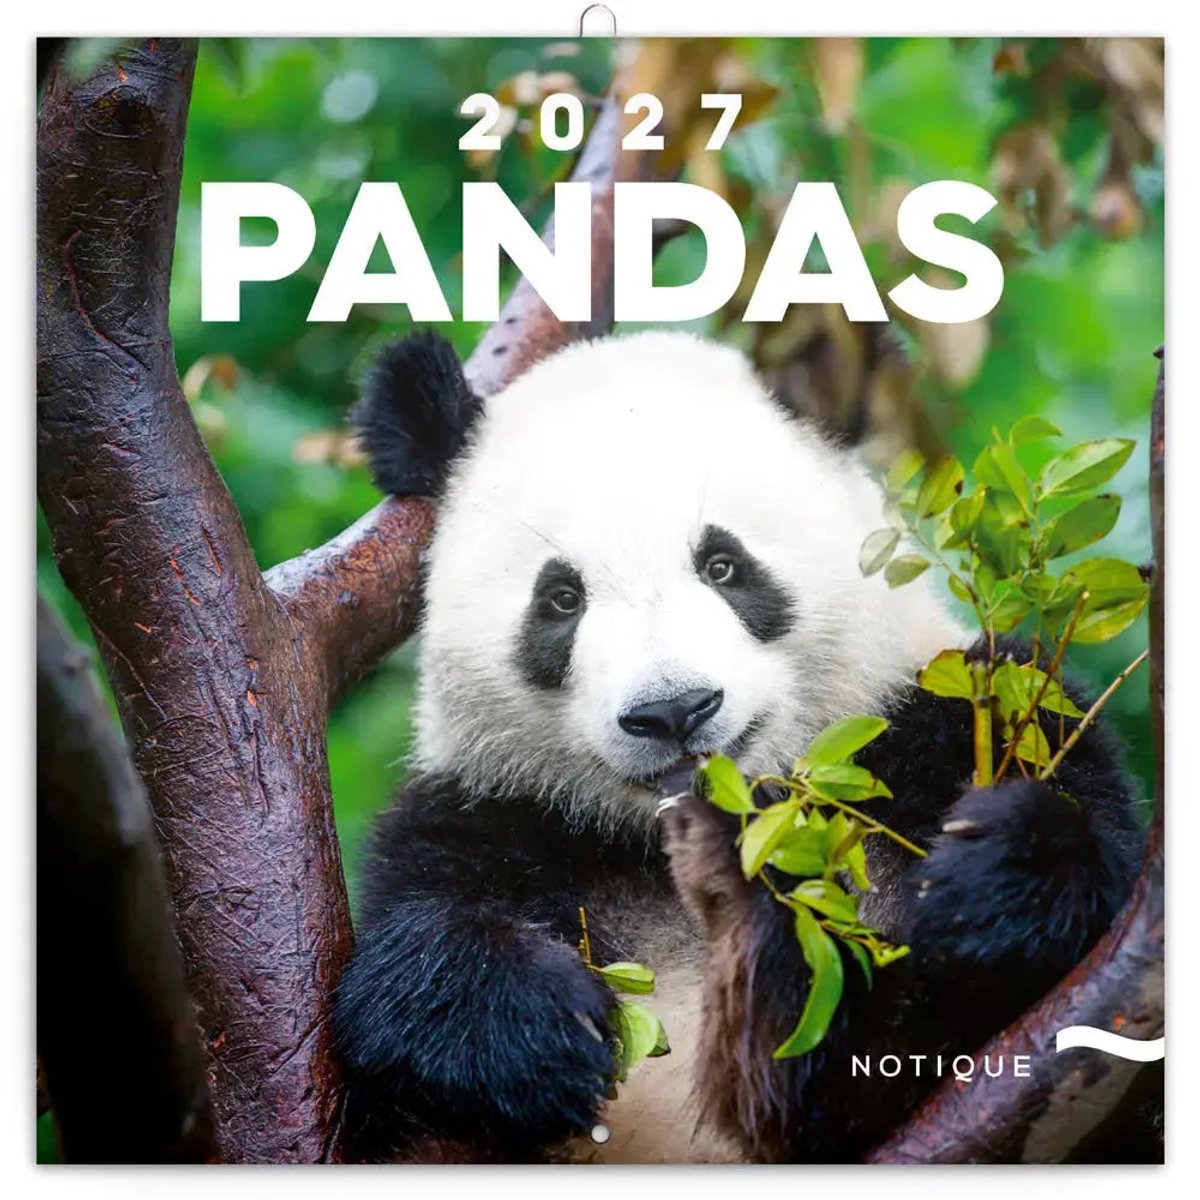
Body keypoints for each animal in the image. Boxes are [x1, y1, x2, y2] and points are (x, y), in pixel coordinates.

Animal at [333, 329, 1145, 1164]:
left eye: (723, 565)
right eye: (560, 598)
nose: (672, 710)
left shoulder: (945, 719)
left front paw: (989, 878)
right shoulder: (490, 817)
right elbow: (394, 981)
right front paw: (536, 1028)